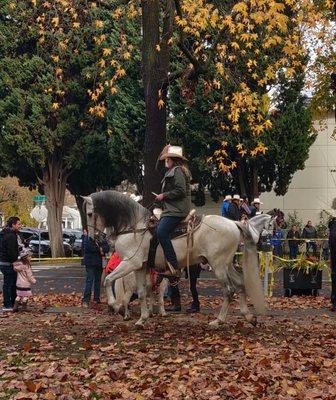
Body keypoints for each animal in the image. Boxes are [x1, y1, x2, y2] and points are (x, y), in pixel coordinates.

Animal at [83, 191, 272, 328]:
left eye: (90, 213)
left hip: (218, 265)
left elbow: (107, 279)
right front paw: (142, 319)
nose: (93, 238)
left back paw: (218, 320)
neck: (135, 227)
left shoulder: (130, 263)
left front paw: (114, 305)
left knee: (229, 290)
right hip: (226, 264)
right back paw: (248, 316)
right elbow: (143, 292)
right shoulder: (140, 266)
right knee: (240, 283)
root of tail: (234, 223)